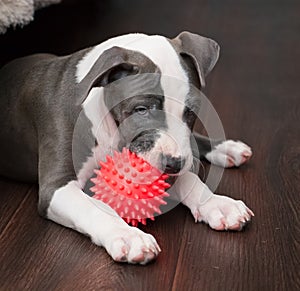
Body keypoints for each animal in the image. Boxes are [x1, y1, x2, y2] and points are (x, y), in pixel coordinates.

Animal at [0, 31, 253, 264]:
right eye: (141, 110)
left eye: (190, 112)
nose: (174, 164)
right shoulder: (56, 186)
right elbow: (94, 208)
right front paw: (128, 235)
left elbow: (189, 178)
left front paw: (217, 203)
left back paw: (226, 148)